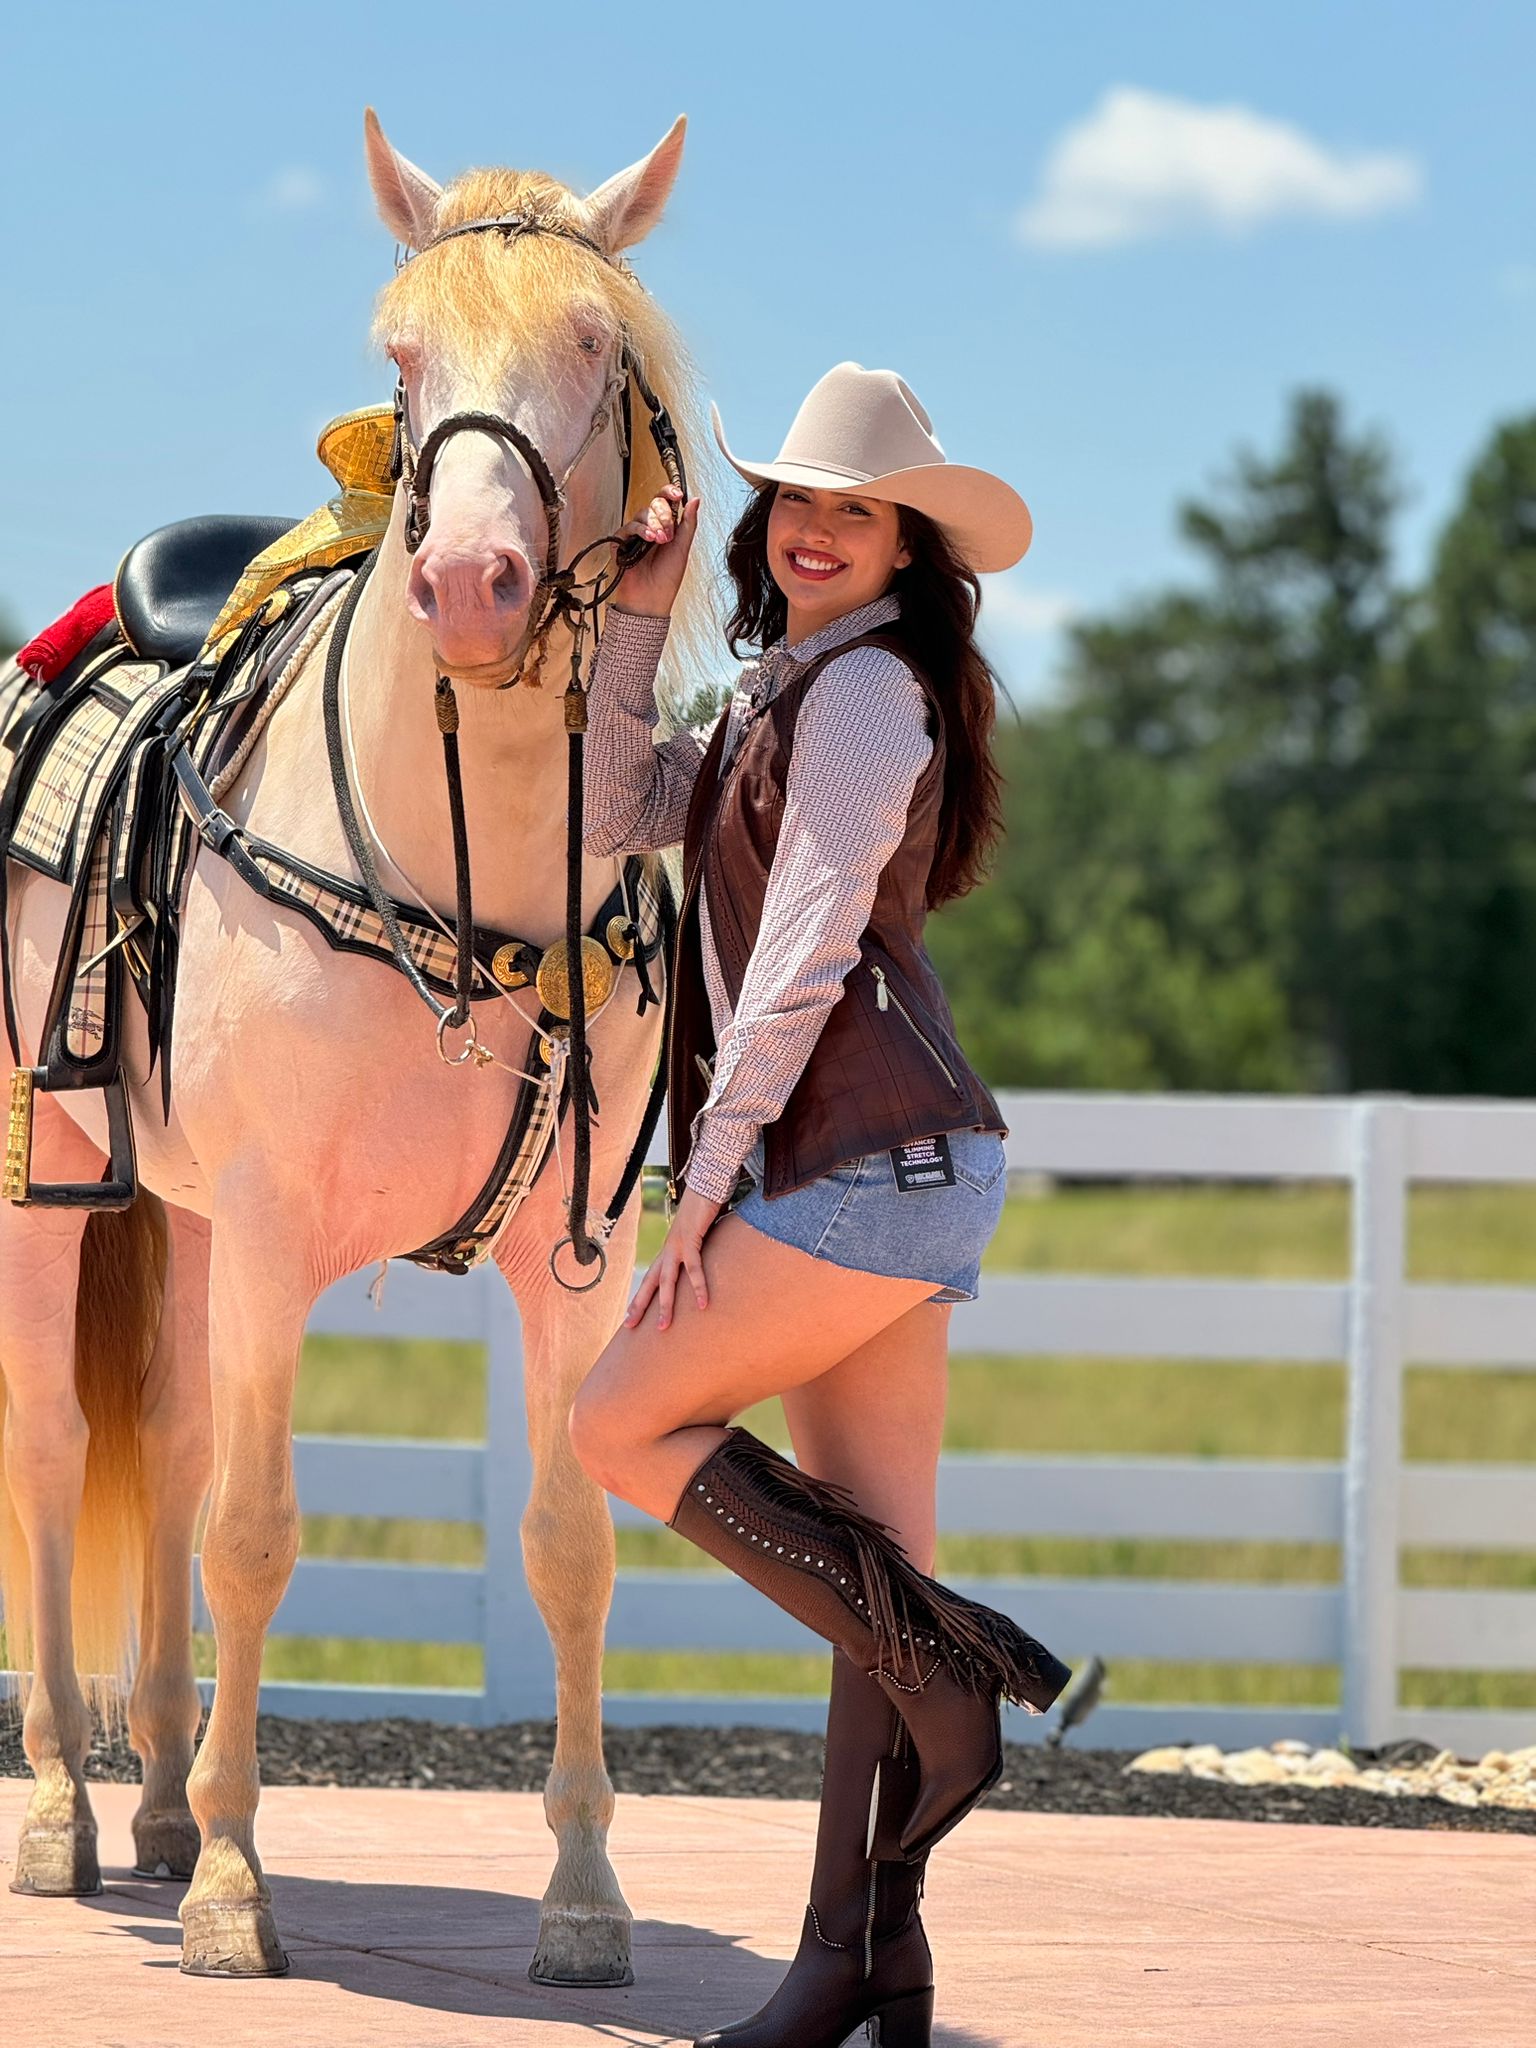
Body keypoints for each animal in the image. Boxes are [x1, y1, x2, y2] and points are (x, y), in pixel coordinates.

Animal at [0, 112, 708, 1982]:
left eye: (593, 347)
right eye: (401, 360)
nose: (469, 582)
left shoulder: (573, 1264)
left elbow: (568, 1550)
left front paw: (584, 1901)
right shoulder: (268, 1232)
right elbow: (255, 1536)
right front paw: (239, 1894)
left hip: (168, 1218)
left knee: (167, 1444)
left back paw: (161, 1801)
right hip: (44, 1193)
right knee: (56, 1446)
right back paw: (67, 1812)